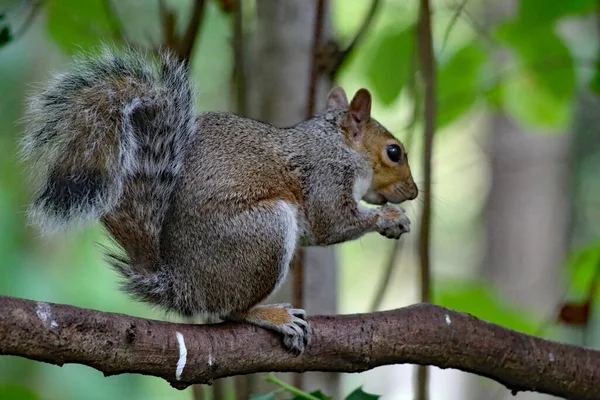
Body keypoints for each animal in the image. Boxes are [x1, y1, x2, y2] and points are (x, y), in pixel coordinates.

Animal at [19, 47, 418, 354]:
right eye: (394, 152)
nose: (414, 192)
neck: (338, 144)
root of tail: (181, 283)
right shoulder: (326, 177)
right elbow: (333, 223)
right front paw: (389, 217)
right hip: (263, 233)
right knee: (231, 310)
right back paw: (273, 315)